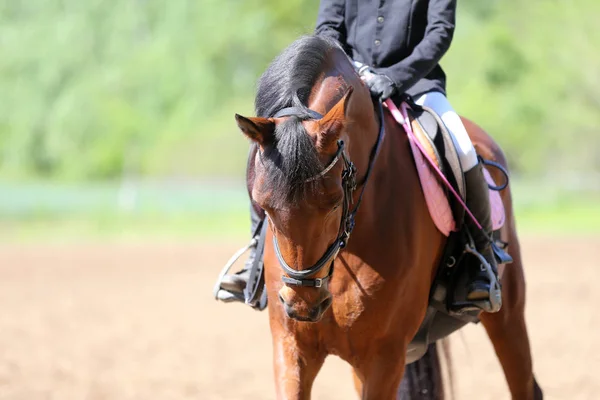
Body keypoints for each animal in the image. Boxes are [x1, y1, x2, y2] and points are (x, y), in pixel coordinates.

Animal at [236, 35, 544, 400]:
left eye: (334, 202)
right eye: (263, 205)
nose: (302, 305)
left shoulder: (385, 356)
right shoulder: (291, 349)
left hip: (508, 312)